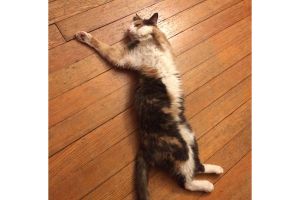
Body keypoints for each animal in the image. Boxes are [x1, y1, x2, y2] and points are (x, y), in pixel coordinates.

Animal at [76, 12, 224, 200]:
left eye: (137, 24)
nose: (129, 29)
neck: (146, 43)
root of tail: (144, 146)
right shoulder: (123, 57)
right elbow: (104, 46)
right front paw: (84, 36)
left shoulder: (165, 45)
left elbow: (156, 30)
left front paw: (145, 28)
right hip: (180, 147)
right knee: (185, 180)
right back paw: (207, 184)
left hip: (190, 139)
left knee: (196, 168)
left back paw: (215, 170)